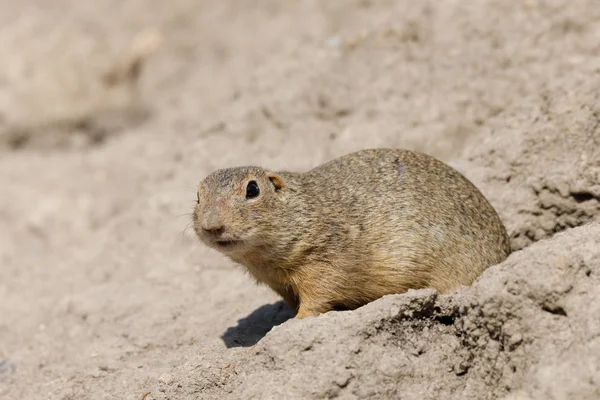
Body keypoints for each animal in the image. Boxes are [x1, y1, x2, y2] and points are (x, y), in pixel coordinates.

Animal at [193, 148, 510, 318]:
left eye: (252, 189)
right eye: (198, 195)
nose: (211, 226)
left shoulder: (325, 262)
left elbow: (317, 298)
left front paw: (293, 322)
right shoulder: (280, 283)